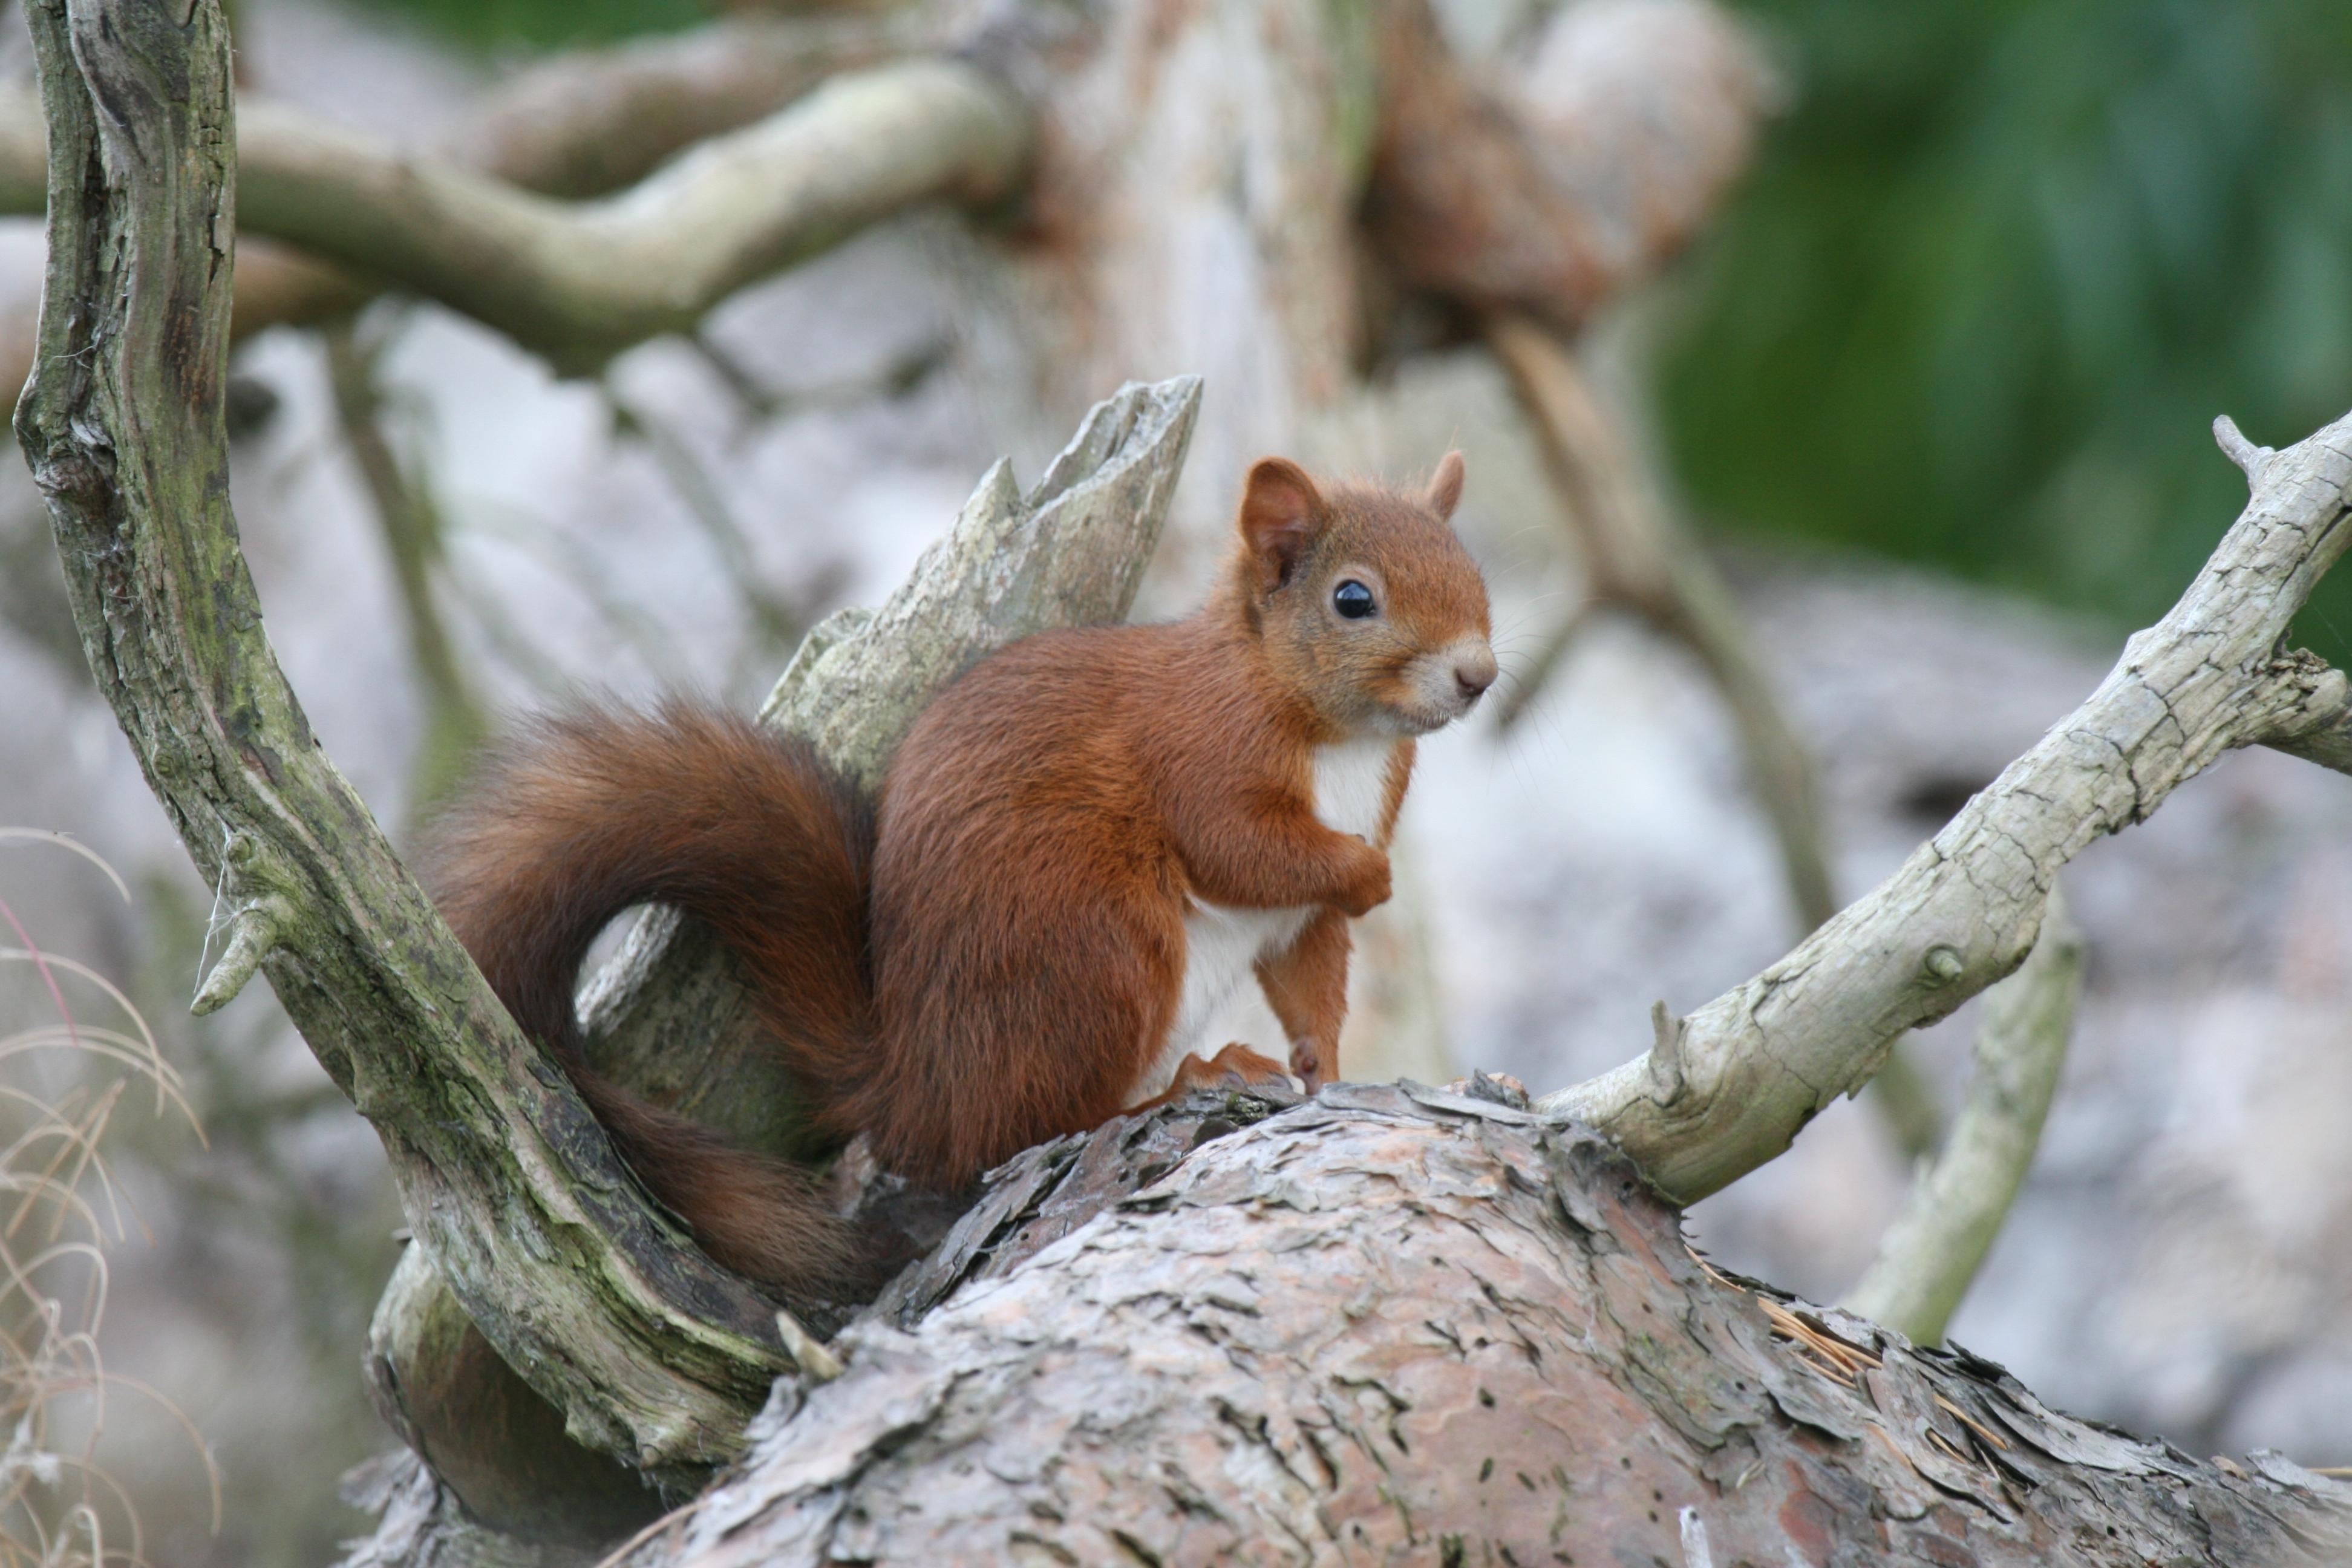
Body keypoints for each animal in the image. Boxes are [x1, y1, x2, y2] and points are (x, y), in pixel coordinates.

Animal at [423, 451, 1495, 1299]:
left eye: (1474, 572)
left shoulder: (1301, 917)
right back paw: (1182, 1084)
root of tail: (916, 1085)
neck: (1342, 738)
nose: (1479, 676)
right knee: (1025, 1129)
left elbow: (1313, 977)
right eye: (1353, 599)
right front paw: (1370, 875)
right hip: (1101, 946)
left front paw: (1327, 1070)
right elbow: (1241, 846)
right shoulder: (1201, 754)